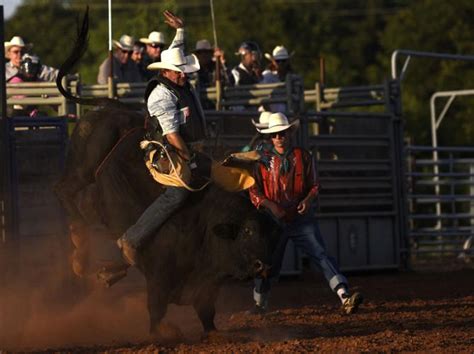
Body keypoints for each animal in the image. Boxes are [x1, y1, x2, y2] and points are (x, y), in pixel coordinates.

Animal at [54, 9, 280, 340]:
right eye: (248, 232)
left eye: (270, 232)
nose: (265, 266)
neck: (205, 224)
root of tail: (109, 106)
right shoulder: (159, 277)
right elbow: (156, 309)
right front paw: (163, 332)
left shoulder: (206, 283)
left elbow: (206, 310)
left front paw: (213, 332)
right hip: (82, 166)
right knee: (64, 191)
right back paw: (81, 254)